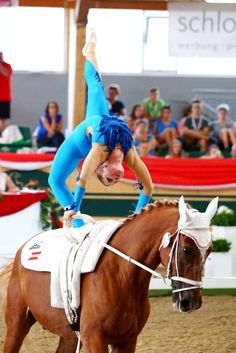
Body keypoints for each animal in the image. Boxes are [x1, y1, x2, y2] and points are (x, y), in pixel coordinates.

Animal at [0, 198, 218, 352]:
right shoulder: (94, 338)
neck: (122, 276)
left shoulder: (128, 340)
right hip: (17, 325)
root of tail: (23, 248)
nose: (192, 302)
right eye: (186, 249)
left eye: (209, 251)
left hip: (68, 335)